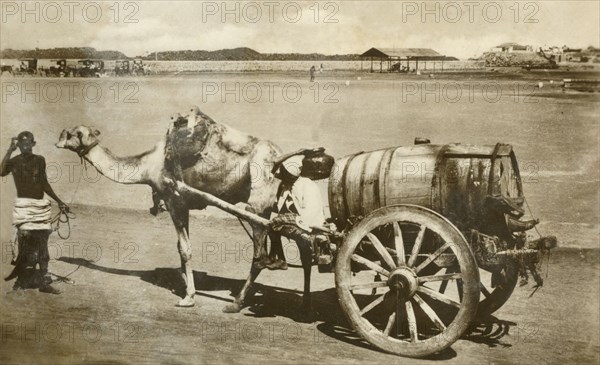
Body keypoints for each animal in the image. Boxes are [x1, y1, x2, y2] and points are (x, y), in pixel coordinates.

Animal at [55, 104, 318, 310]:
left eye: (74, 134)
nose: (57, 140)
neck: (148, 165)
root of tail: (279, 159)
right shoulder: (185, 204)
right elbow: (181, 249)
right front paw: (185, 287)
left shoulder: (175, 200)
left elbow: (185, 250)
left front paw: (188, 298)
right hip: (281, 204)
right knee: (304, 245)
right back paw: (304, 303)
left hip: (258, 205)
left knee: (259, 256)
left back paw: (237, 302)